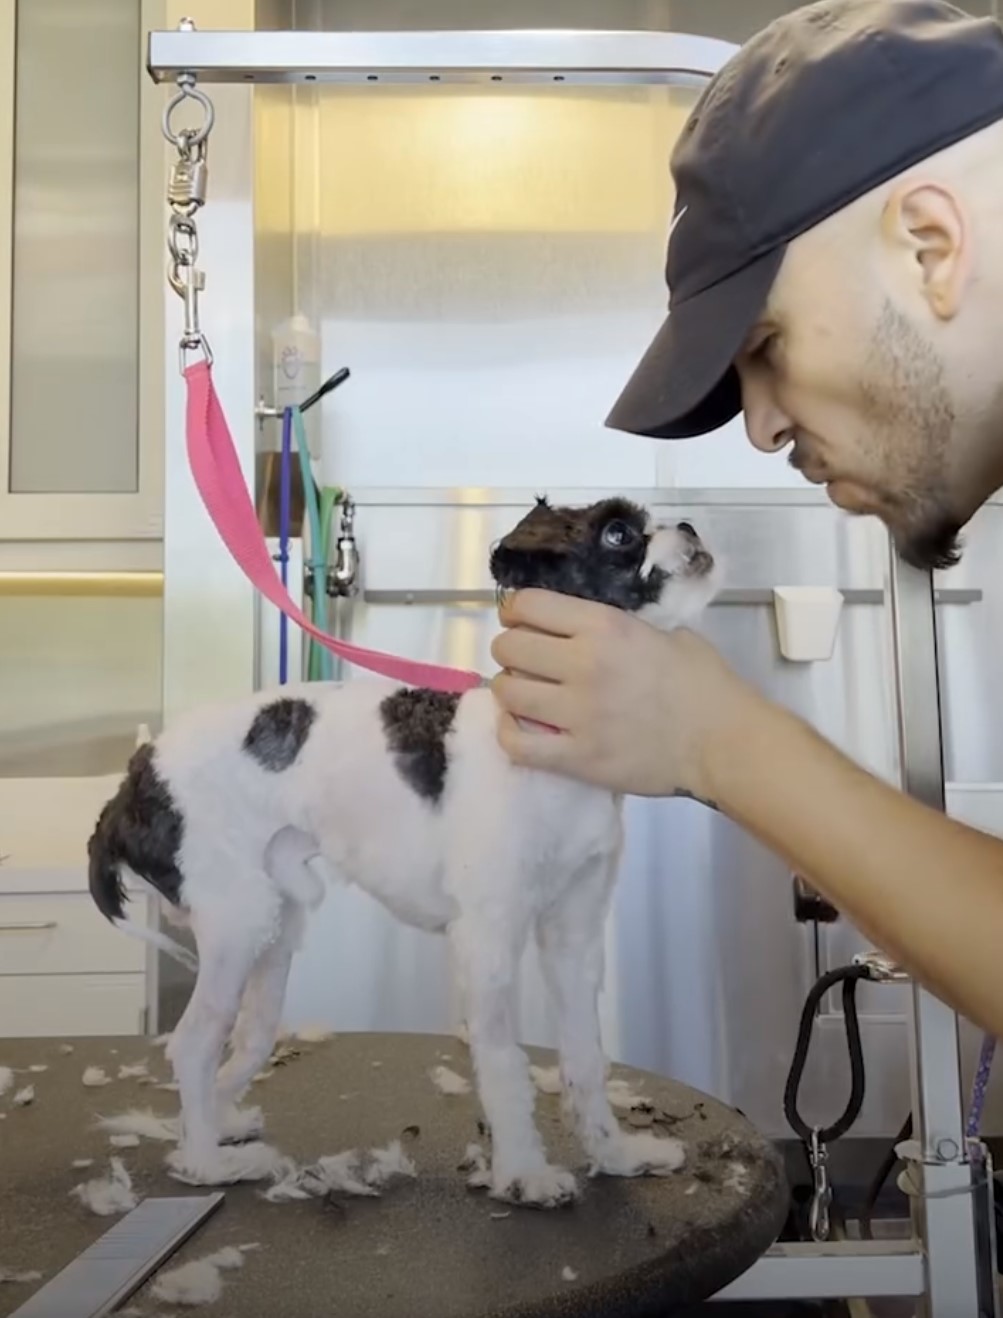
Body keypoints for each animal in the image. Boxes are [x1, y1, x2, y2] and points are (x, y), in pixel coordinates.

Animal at [84, 495, 711, 1207]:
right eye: (618, 533)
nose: (690, 526)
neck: (545, 751)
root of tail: (138, 772)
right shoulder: (488, 941)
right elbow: (505, 1065)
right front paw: (524, 1173)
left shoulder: (573, 938)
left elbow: (586, 1058)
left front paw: (616, 1155)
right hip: (234, 925)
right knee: (191, 1046)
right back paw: (207, 1165)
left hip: (272, 930)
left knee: (244, 1041)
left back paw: (217, 1126)